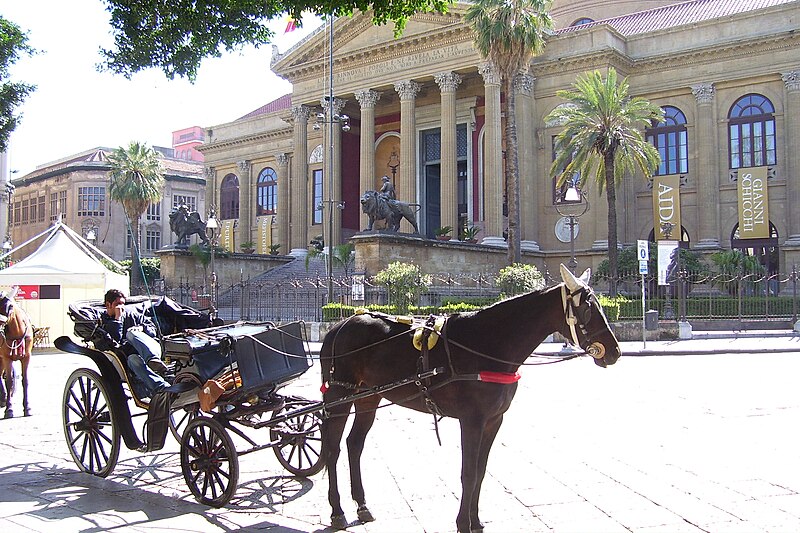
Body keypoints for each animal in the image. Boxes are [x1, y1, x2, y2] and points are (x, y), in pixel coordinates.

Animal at [0, 288, 33, 418]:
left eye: (10, 306)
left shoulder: (27, 357)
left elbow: (26, 380)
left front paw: (27, 407)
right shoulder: (6, 358)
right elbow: (9, 381)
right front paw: (9, 409)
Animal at [322, 264, 620, 528]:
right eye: (587, 309)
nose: (614, 351)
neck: (488, 342)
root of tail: (340, 325)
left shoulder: (493, 421)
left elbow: (480, 471)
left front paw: (475, 520)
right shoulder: (472, 420)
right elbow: (468, 473)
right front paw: (463, 522)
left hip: (368, 397)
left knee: (354, 444)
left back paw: (361, 505)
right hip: (339, 394)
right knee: (332, 449)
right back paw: (337, 510)